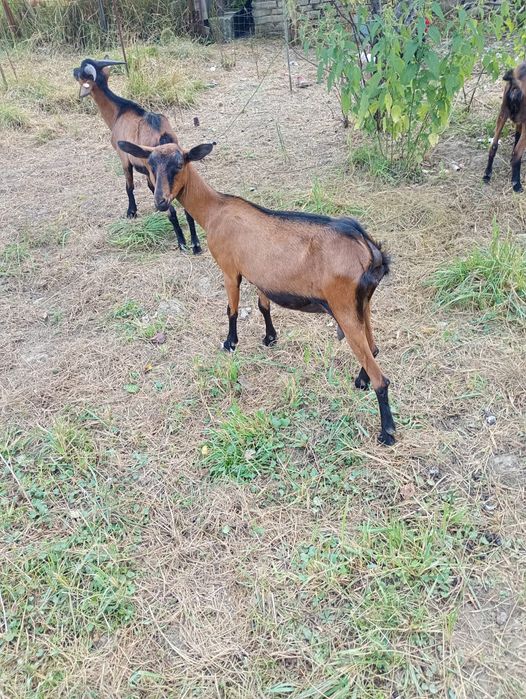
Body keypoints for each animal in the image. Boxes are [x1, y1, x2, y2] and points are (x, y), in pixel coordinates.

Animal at [72, 57, 202, 254]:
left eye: (80, 72)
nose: (72, 70)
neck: (119, 112)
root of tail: (162, 134)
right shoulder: (150, 171)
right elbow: (151, 188)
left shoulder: (124, 158)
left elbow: (129, 187)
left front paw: (131, 212)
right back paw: (195, 244)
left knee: (172, 211)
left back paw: (182, 243)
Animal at [118, 139, 396, 445]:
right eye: (150, 166)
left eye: (180, 164)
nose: (161, 202)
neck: (215, 210)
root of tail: (368, 249)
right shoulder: (261, 277)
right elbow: (264, 306)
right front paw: (270, 338)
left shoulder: (229, 269)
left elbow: (232, 309)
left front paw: (230, 343)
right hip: (362, 304)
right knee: (373, 347)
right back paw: (361, 380)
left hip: (343, 305)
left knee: (381, 376)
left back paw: (387, 432)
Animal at [483, 62, 526, 193]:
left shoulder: (519, 121)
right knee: (517, 153)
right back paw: (516, 184)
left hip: (503, 113)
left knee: (493, 145)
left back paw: (487, 174)